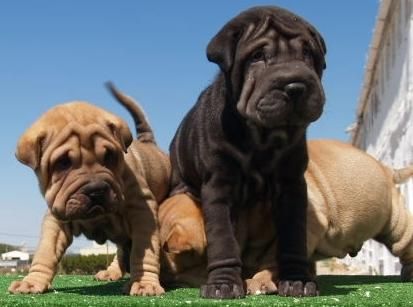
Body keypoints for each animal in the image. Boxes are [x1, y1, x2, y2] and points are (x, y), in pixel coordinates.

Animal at [9, 83, 171, 296]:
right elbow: (45, 252)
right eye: (63, 163)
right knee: (121, 250)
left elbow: (143, 252)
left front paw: (145, 283)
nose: (96, 190)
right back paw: (111, 272)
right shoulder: (56, 216)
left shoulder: (143, 213)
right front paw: (31, 282)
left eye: (109, 156)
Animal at [162, 140, 413, 296]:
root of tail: (386, 169)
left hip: (394, 221)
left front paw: (262, 281)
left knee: (404, 241)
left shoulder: (303, 226)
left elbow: (276, 257)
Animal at [167, 5, 326, 298]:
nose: (295, 86)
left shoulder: (292, 186)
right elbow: (223, 240)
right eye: (258, 56)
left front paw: (297, 279)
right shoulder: (219, 185)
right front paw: (223, 284)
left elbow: (294, 235)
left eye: (308, 53)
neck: (262, 137)